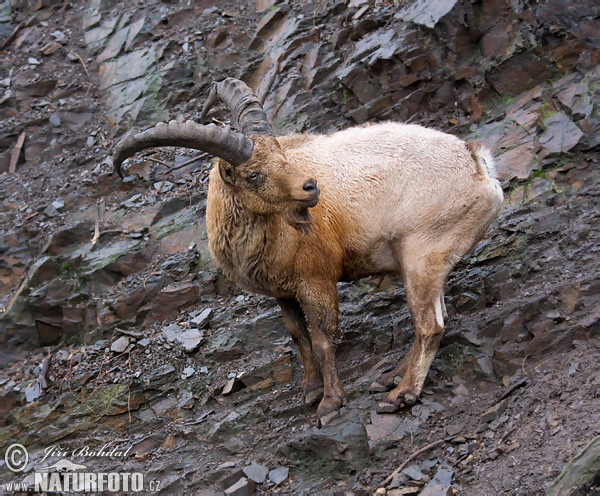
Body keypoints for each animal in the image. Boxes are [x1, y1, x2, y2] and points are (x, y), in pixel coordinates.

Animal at [115, 78, 504, 426]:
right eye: (253, 174)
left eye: (281, 154)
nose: (310, 187)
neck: (274, 233)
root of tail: (476, 163)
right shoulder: (282, 292)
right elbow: (297, 335)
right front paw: (311, 389)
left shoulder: (316, 279)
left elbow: (321, 339)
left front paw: (330, 403)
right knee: (438, 316)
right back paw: (389, 378)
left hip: (422, 253)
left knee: (430, 325)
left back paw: (400, 395)